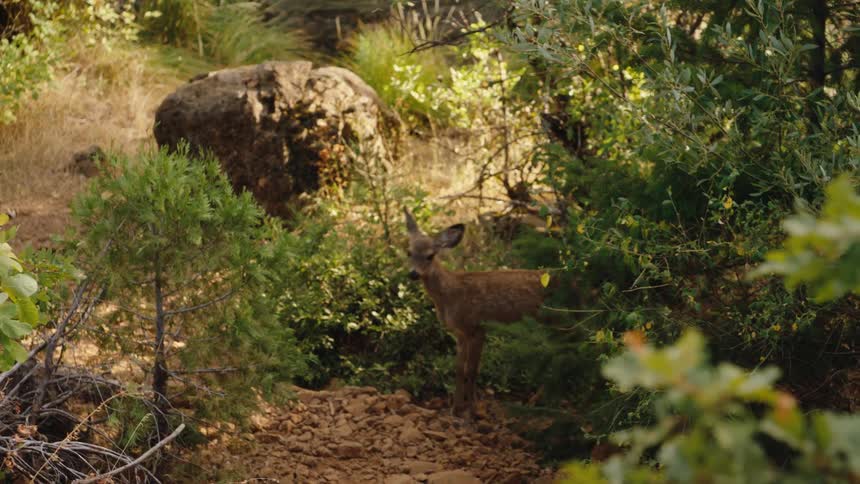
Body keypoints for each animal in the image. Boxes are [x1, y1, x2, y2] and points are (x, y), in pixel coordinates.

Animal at [403, 208, 548, 419]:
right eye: (409, 252)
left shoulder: (477, 327)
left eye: (430, 255)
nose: (413, 273)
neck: (451, 295)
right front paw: (455, 409)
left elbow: (472, 370)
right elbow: (459, 369)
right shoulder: (460, 333)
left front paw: (474, 410)